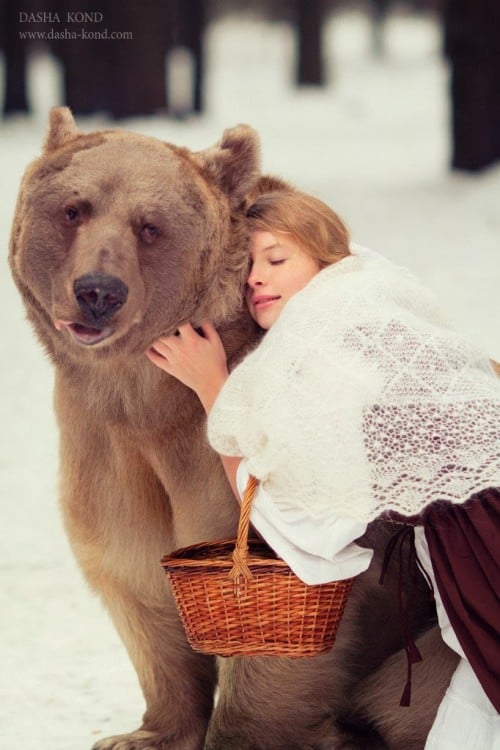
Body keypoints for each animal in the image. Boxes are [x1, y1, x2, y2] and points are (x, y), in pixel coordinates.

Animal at [8, 107, 458, 750]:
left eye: (150, 226)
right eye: (74, 208)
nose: (98, 291)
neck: (148, 393)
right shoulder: (105, 440)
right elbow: (134, 568)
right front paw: (141, 734)